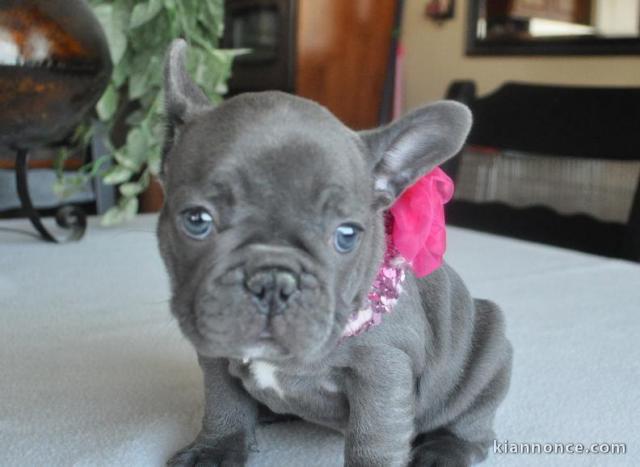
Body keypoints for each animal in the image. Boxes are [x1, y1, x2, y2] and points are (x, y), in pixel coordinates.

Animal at [158, 40, 512, 467]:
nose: (273, 280)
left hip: (487, 357)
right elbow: (222, 402)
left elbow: (373, 439)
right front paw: (215, 449)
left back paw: (443, 451)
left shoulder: (382, 370)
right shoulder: (214, 344)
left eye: (345, 235)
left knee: (471, 423)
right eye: (197, 220)